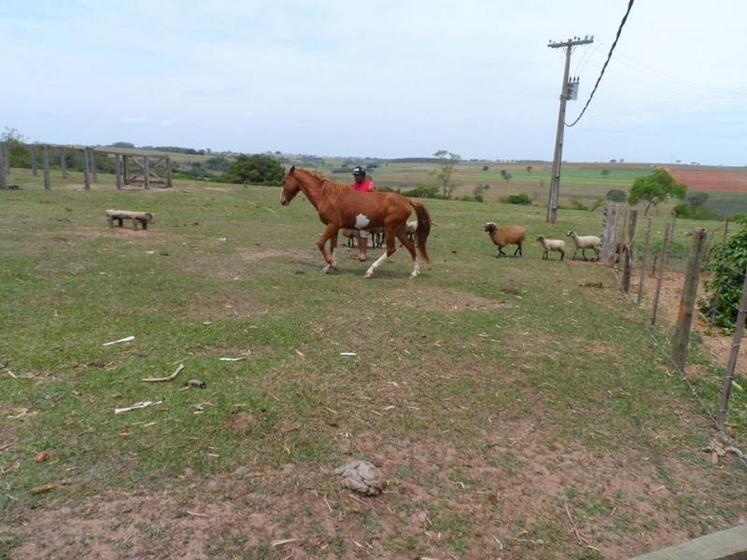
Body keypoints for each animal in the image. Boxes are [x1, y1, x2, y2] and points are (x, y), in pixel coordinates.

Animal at [280, 166, 432, 280]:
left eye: (284, 181)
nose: (282, 201)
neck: (326, 196)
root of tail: (407, 200)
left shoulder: (332, 225)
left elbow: (320, 243)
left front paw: (332, 264)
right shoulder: (335, 227)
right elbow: (332, 246)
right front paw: (329, 267)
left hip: (390, 228)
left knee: (391, 249)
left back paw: (370, 271)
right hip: (399, 229)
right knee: (410, 246)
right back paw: (414, 273)